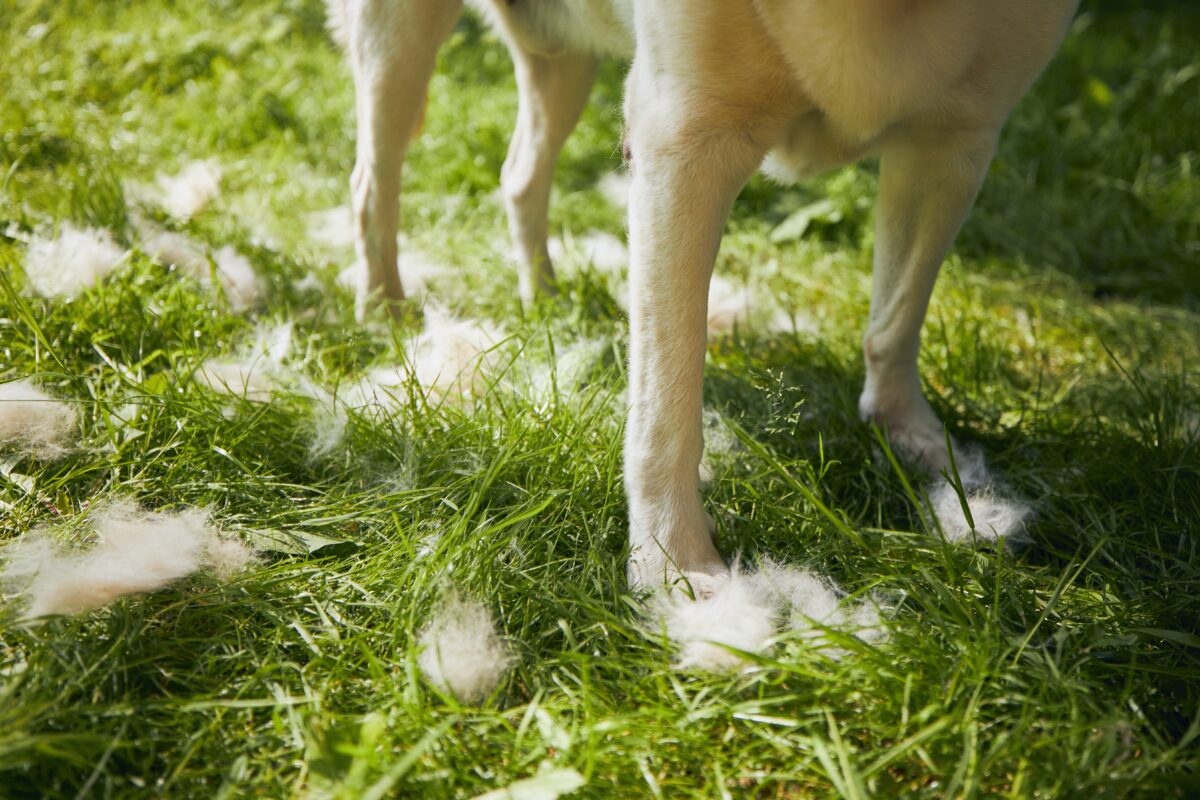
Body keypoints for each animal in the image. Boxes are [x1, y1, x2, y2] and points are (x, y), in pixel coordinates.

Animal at [333, 1, 1084, 594]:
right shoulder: (682, 141)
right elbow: (666, 406)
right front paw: (674, 563)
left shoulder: (955, 143)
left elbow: (898, 314)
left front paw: (913, 436)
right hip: (400, 33)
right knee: (373, 181)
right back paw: (386, 313)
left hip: (559, 56)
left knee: (519, 173)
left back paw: (543, 297)